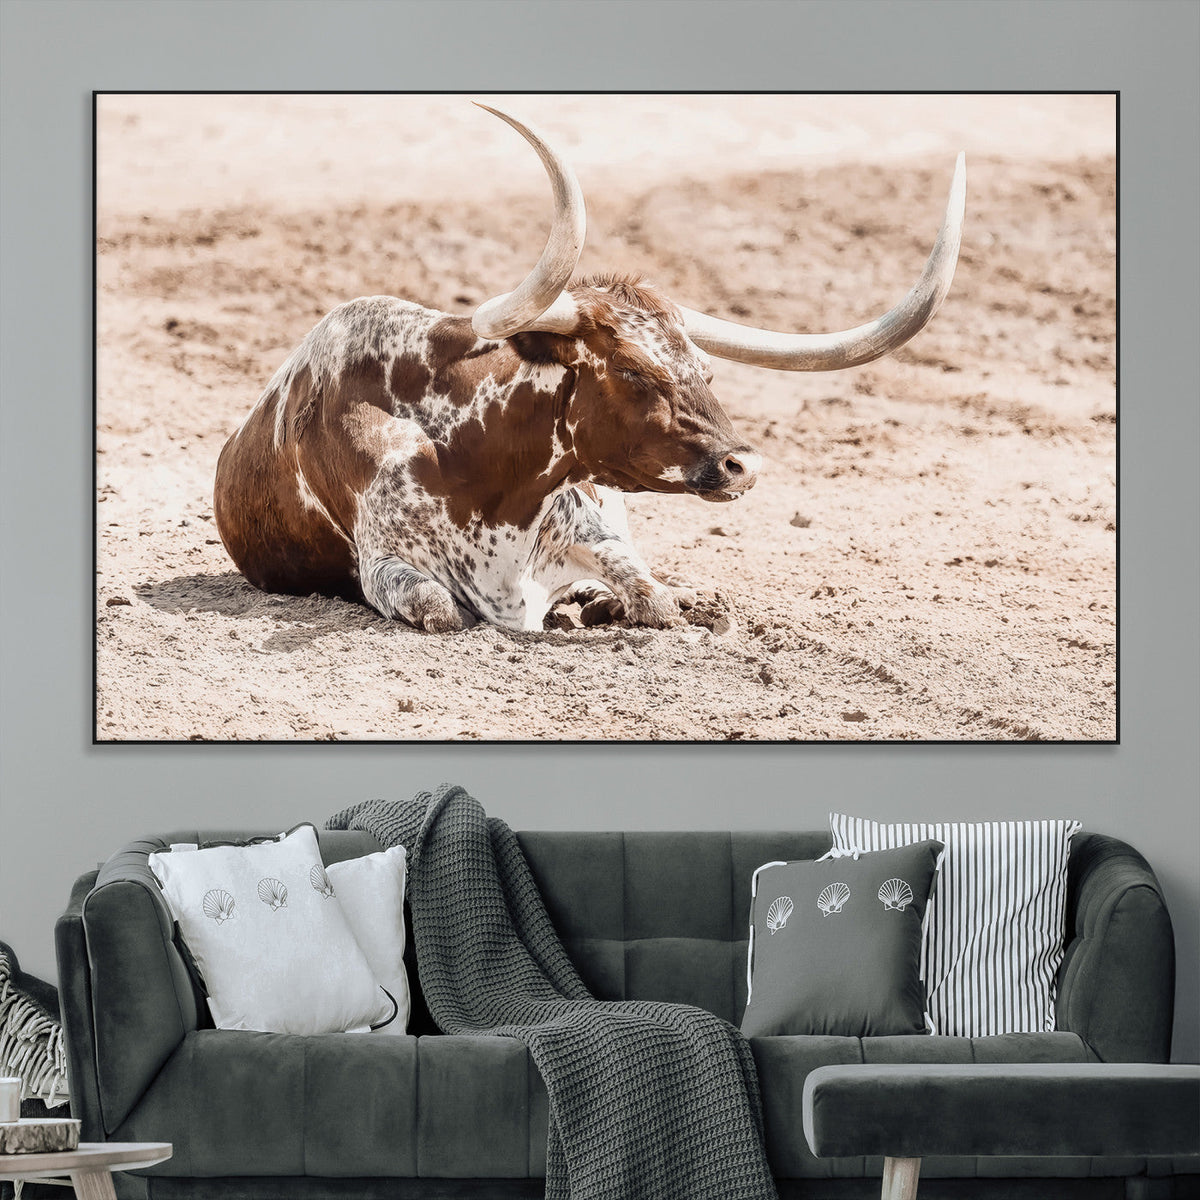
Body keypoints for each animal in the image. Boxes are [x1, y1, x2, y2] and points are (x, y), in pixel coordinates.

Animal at [214, 104, 965, 633]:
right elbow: (439, 607)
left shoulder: (594, 529)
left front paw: (635, 603)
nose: (743, 465)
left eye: (705, 369)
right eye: (631, 371)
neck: (481, 470)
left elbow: (653, 597)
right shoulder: (386, 567)